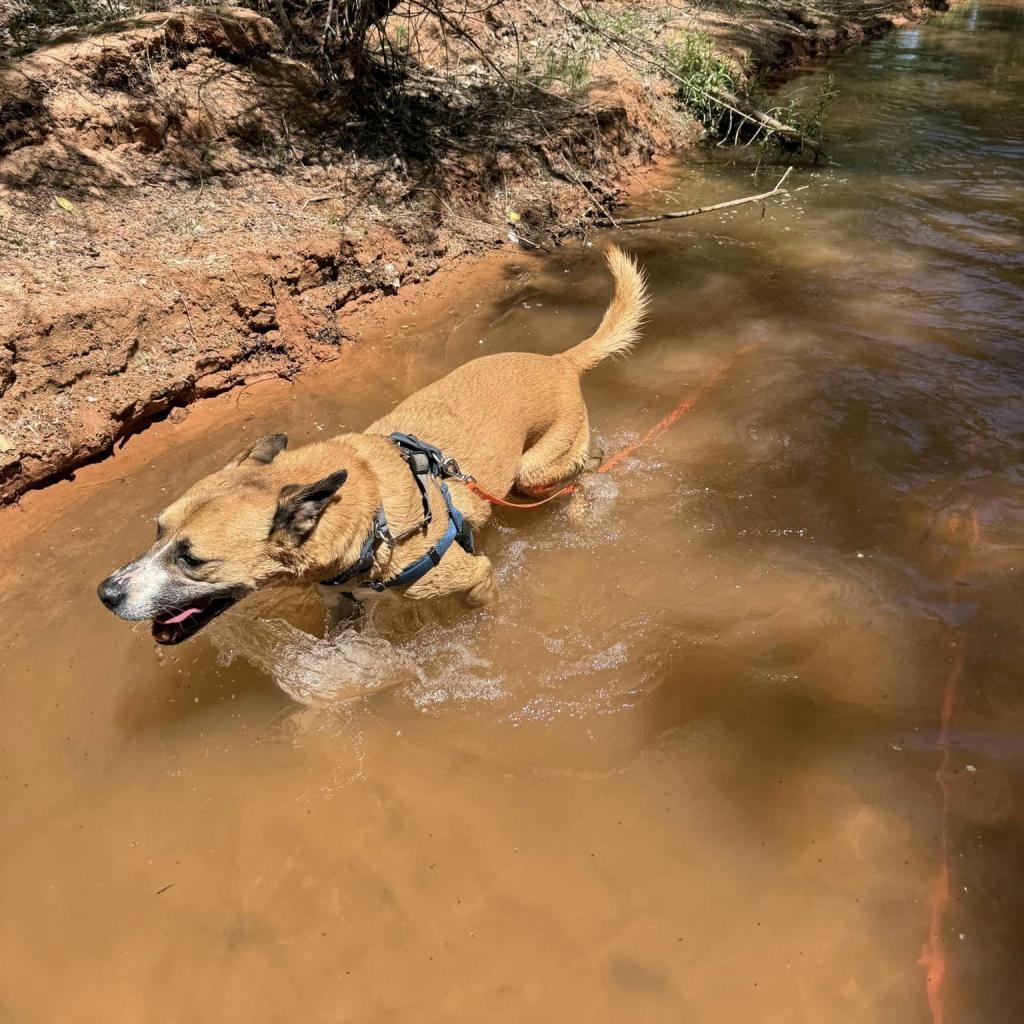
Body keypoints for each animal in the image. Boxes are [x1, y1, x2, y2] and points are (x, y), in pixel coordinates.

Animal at [96, 244, 647, 643]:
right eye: (157, 530)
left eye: (192, 559)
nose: (105, 593)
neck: (369, 512)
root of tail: (560, 360)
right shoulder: (341, 606)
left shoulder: (475, 578)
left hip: (533, 474)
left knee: (585, 469)